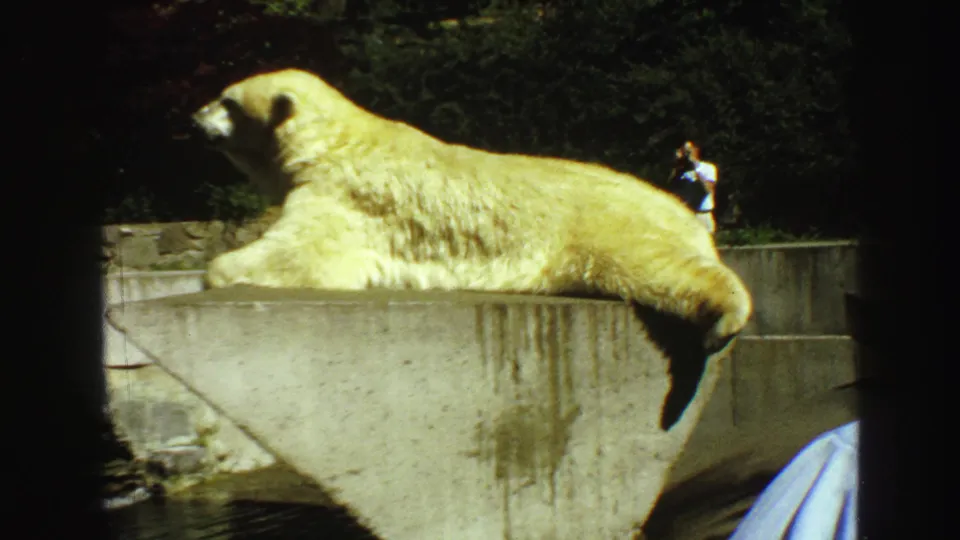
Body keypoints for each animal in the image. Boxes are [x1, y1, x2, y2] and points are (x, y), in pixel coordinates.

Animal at [190, 68, 752, 352]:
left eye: (227, 101)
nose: (194, 119)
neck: (332, 141)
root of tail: (679, 209)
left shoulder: (343, 196)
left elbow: (302, 254)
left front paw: (218, 269)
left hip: (610, 227)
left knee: (660, 269)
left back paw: (725, 317)